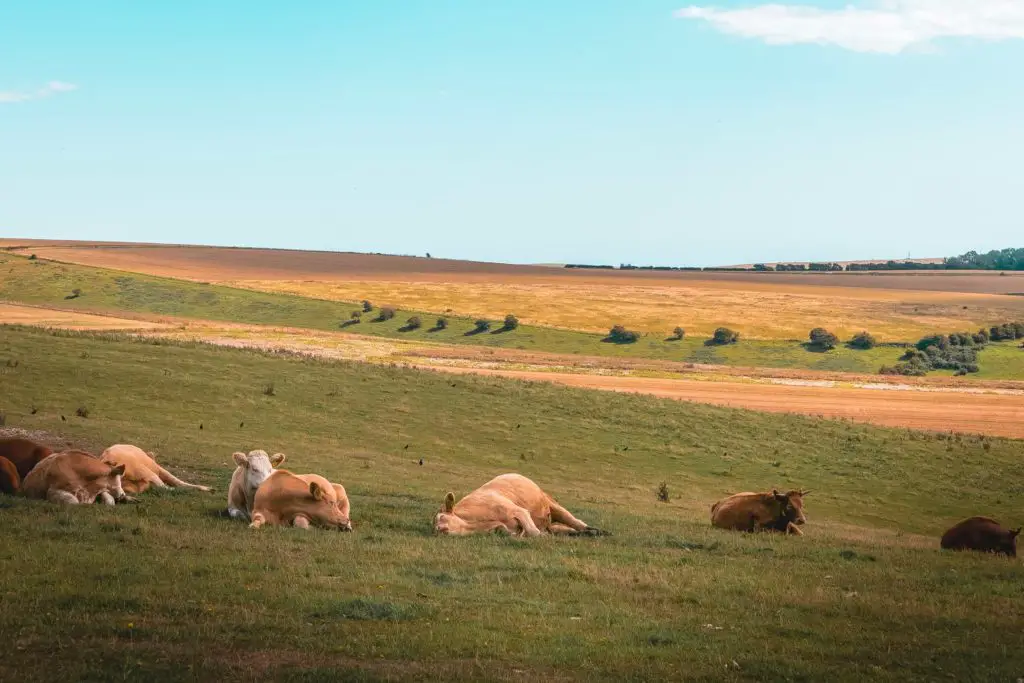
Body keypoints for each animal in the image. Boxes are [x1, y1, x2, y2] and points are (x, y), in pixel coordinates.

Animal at [430, 473, 602, 536]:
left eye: (442, 517)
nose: (439, 529)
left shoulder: (519, 511)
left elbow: (533, 532)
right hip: (549, 522)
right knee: (566, 529)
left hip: (552, 505)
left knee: (576, 522)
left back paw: (595, 531)